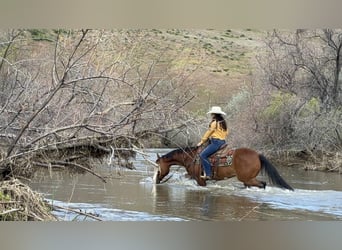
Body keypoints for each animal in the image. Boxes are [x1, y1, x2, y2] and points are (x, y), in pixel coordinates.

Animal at [155, 146, 294, 190]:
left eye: (158, 165)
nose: (156, 180)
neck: (191, 157)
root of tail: (257, 155)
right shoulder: (194, 177)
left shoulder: (201, 180)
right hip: (248, 179)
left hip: (247, 178)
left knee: (262, 184)